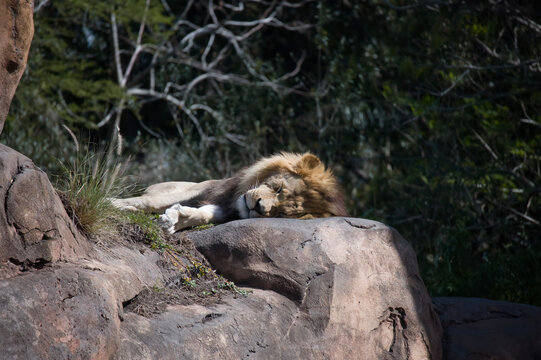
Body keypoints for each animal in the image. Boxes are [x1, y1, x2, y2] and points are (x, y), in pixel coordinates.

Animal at [111, 153, 348, 233]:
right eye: (279, 188)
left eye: (281, 213)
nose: (259, 206)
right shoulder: (207, 187)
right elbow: (150, 201)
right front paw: (111, 203)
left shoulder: (225, 208)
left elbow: (203, 215)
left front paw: (175, 219)